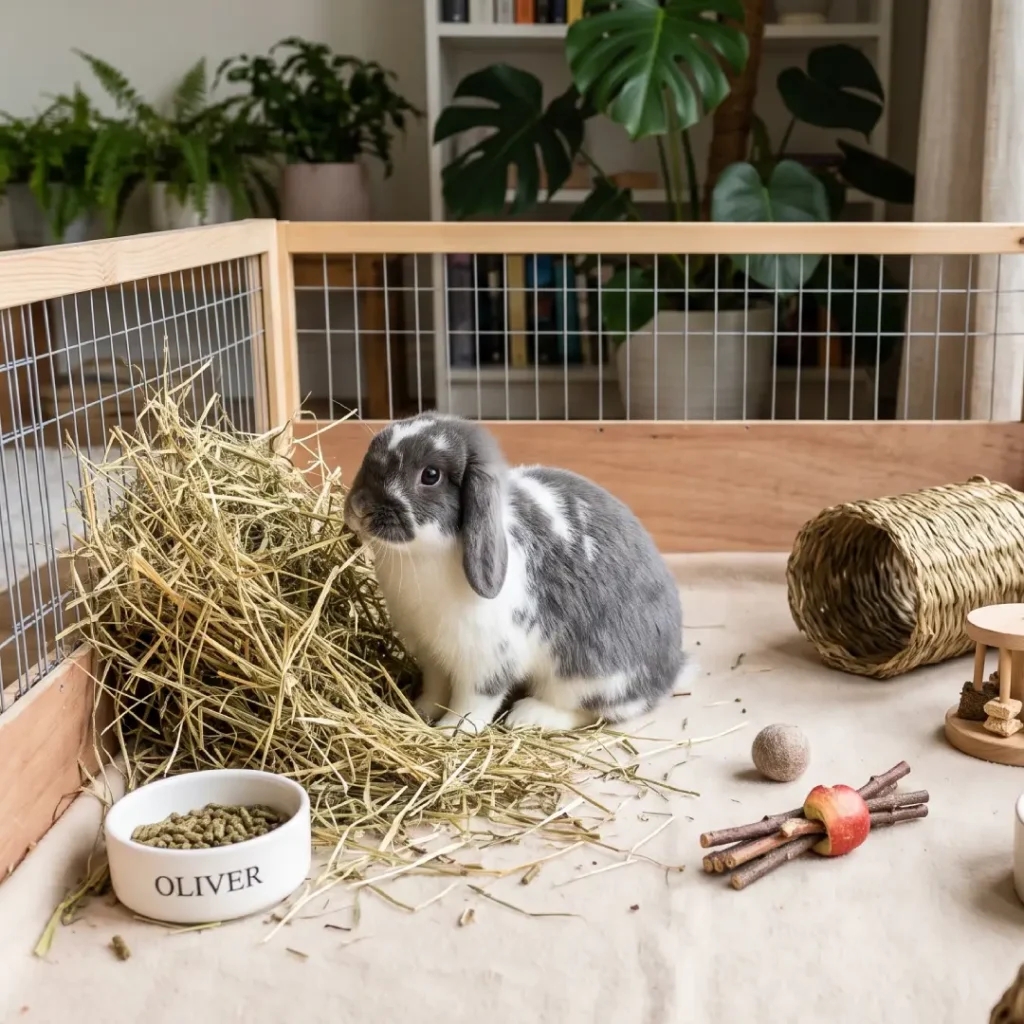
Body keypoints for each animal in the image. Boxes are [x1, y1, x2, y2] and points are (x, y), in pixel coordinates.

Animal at [343, 413, 689, 733]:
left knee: (592, 711)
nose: (360, 506)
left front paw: (452, 730)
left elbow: (473, 701)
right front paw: (420, 712)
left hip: (591, 676)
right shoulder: (432, 655)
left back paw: (528, 715)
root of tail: (671, 669)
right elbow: (436, 688)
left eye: (430, 475)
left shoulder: (488, 661)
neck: (422, 556)